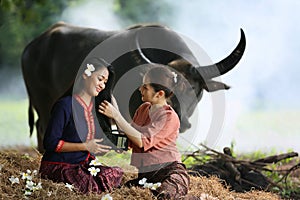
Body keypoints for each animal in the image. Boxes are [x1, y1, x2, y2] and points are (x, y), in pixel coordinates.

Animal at [21, 21, 246, 152]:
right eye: (160, 87)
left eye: (194, 89)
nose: (182, 120)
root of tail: (31, 47)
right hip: (42, 101)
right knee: (44, 127)